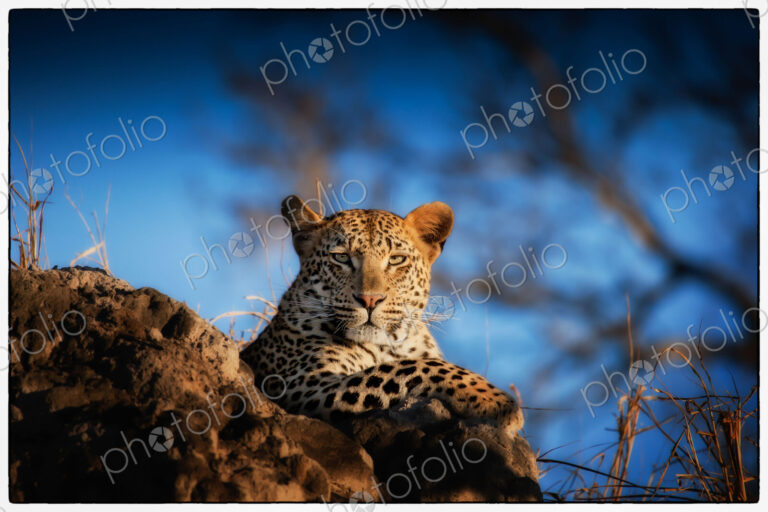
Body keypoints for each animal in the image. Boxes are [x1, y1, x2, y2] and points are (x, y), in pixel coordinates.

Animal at [240, 194, 523, 435]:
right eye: (341, 258)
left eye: (396, 259)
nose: (370, 300)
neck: (392, 344)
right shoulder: (302, 384)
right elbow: (405, 367)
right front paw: (495, 400)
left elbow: (407, 364)